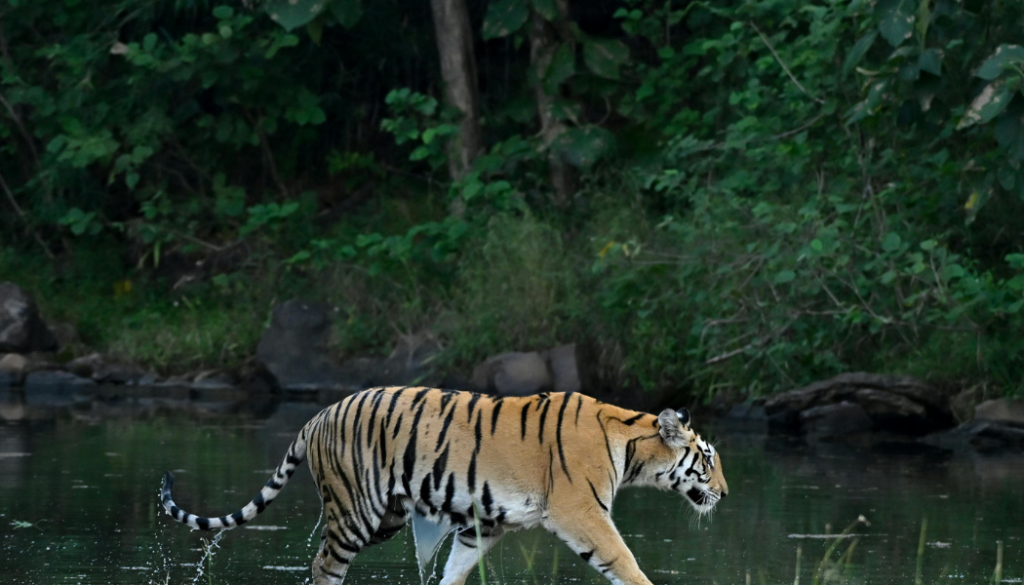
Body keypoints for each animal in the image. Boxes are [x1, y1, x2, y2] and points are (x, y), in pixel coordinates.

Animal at [160, 387, 728, 585]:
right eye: (707, 459)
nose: (725, 492)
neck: (633, 447)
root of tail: (318, 414)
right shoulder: (581, 512)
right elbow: (624, 562)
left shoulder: (485, 524)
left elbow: (455, 570)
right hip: (355, 511)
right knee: (324, 565)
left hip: (387, 514)